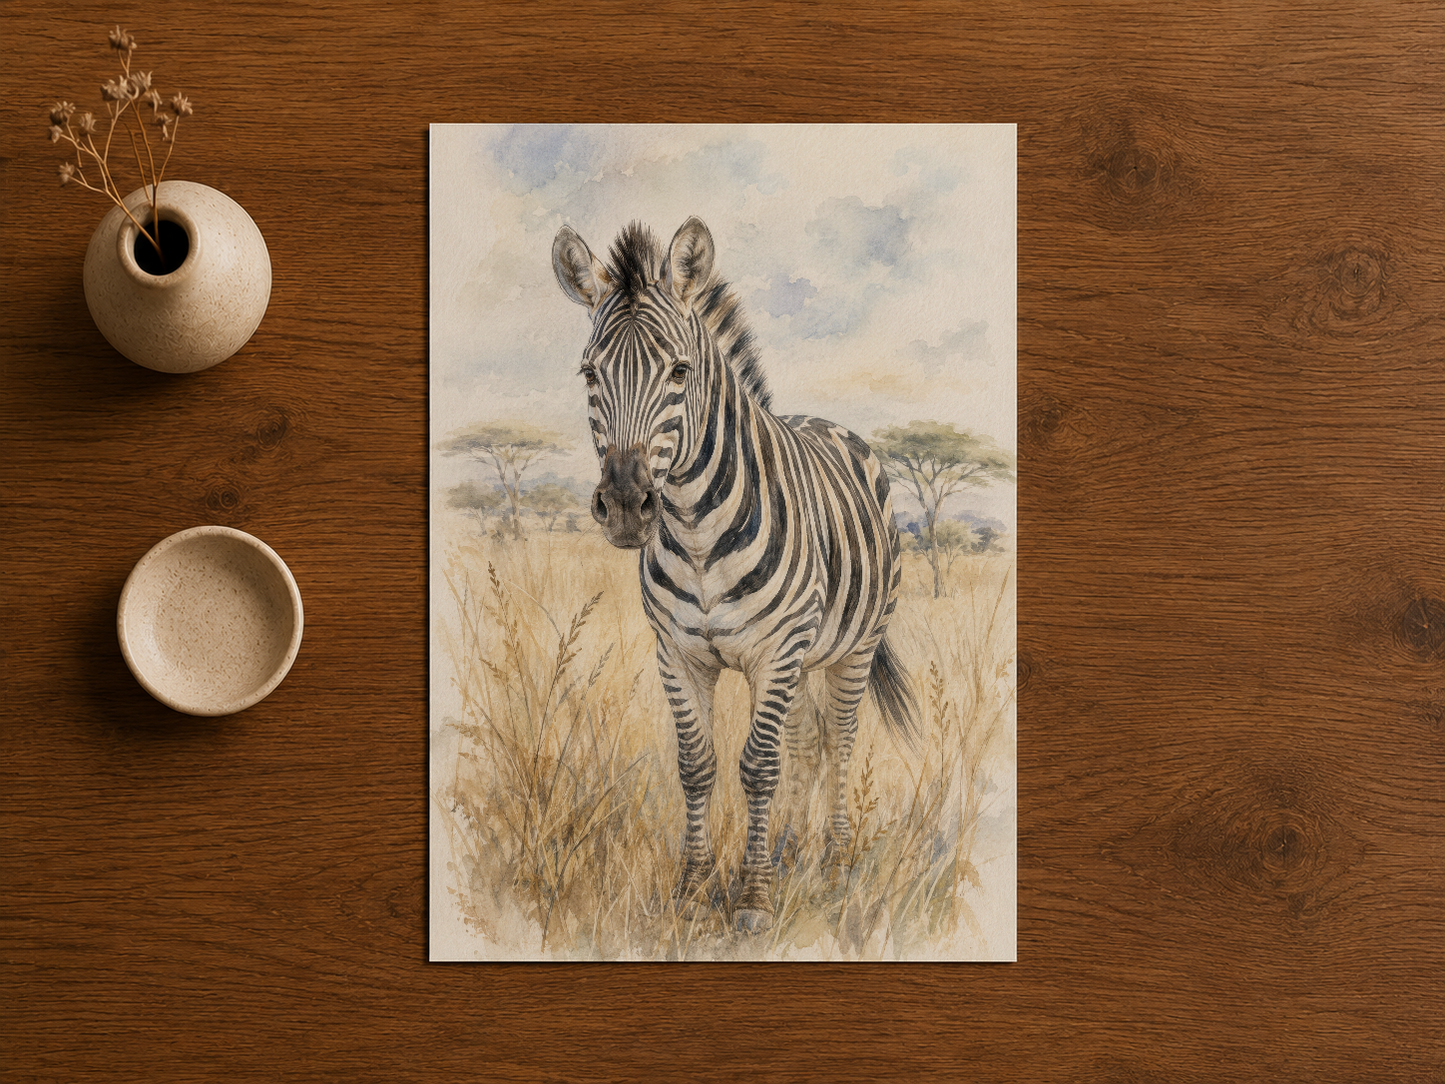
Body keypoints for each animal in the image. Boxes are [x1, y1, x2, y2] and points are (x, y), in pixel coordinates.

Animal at [552, 216, 918, 934]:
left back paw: (834, 861)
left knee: (838, 738)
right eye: (587, 372)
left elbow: (758, 766)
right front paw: (694, 890)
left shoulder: (774, 651)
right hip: (807, 654)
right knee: (806, 740)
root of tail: (832, 425)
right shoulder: (677, 653)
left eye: (679, 370)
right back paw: (794, 850)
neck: (696, 531)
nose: (626, 505)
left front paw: (752, 899)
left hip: (851, 646)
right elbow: (698, 766)